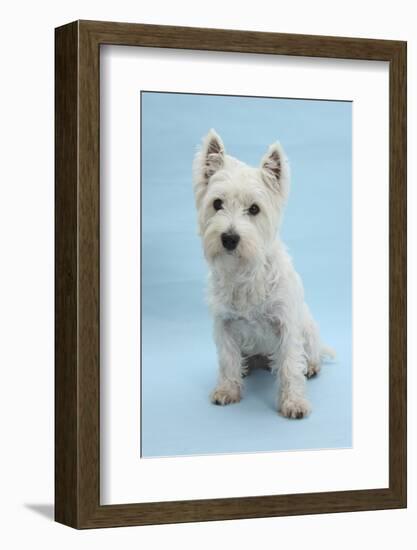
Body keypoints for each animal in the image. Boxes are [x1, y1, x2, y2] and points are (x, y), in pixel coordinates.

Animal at [192, 129, 332, 420]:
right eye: (217, 203)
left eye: (254, 209)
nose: (229, 238)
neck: (244, 271)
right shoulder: (224, 324)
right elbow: (228, 359)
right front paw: (228, 390)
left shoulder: (286, 324)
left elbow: (289, 365)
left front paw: (293, 402)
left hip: (308, 328)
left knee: (310, 353)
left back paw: (310, 366)